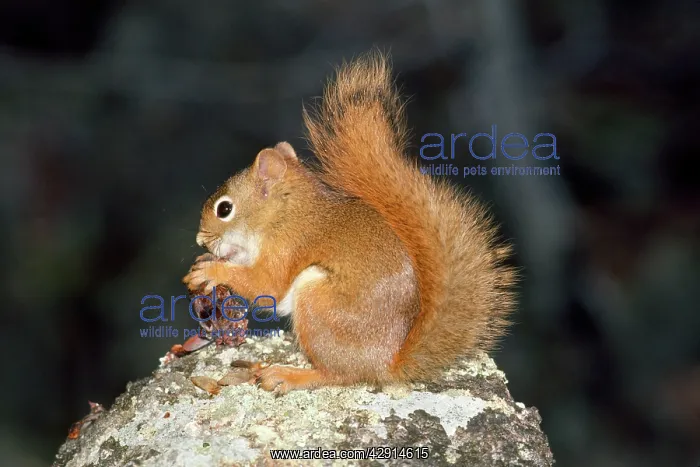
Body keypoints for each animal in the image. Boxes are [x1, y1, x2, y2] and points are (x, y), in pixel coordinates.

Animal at [183, 50, 517, 395]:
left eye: (225, 209)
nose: (200, 241)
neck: (285, 214)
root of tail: (384, 364)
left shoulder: (288, 246)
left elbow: (266, 285)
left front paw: (211, 271)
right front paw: (204, 263)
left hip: (319, 304)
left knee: (339, 375)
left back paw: (289, 375)